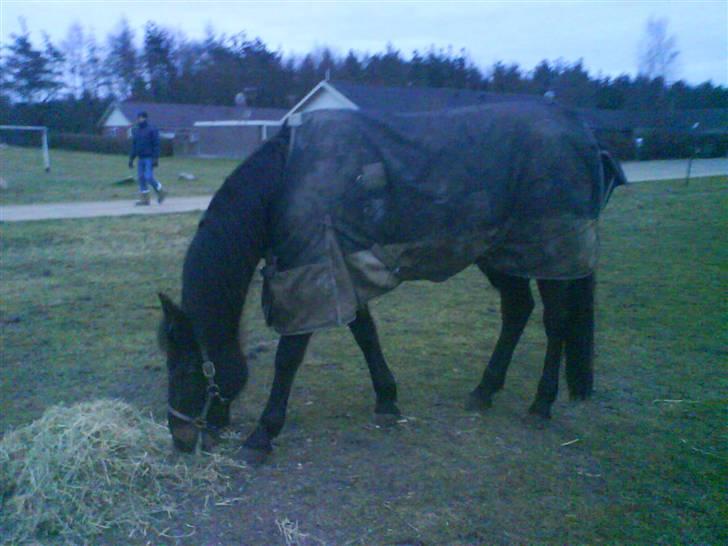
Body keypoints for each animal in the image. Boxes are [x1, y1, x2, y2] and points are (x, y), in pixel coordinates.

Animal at [158, 105, 624, 460]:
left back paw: (541, 403)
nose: (179, 438)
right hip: (502, 254)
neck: (287, 182)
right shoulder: (341, 267)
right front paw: (387, 400)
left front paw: (262, 435)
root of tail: (582, 132)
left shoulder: (313, 276)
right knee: (516, 311)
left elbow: (288, 357)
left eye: (185, 367)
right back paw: (484, 390)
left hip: (549, 253)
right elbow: (365, 334)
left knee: (555, 322)